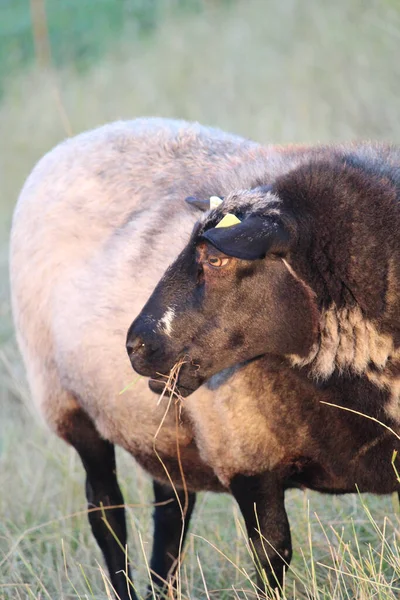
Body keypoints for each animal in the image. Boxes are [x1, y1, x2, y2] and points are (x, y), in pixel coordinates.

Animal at [10, 118, 318, 600]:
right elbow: (272, 549)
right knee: (106, 511)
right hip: (70, 403)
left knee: (171, 509)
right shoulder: (249, 451)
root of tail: (85, 136)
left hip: (162, 424)